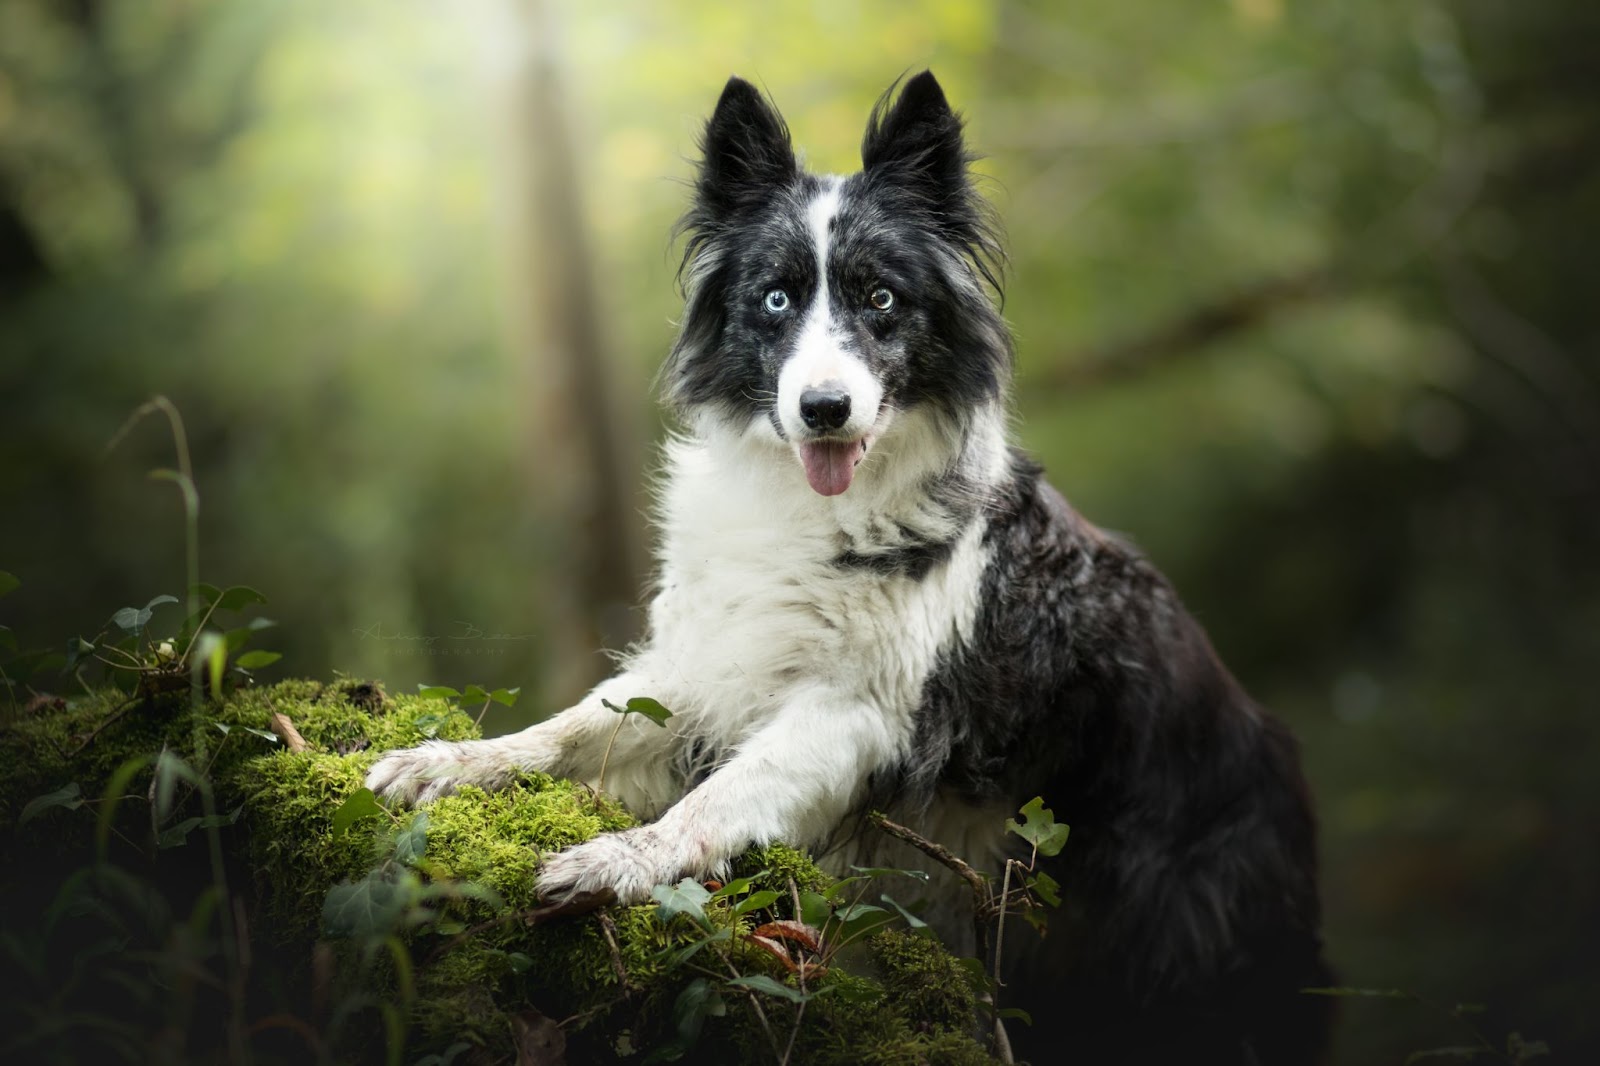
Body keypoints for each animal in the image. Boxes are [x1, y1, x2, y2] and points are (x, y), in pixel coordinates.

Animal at [368, 70, 1331, 1056]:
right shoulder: (709, 662)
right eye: (777, 300)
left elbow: (722, 795)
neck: (815, 505)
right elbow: (571, 729)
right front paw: (449, 761)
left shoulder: (859, 714)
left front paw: (620, 862)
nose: (824, 409)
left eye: (880, 299)